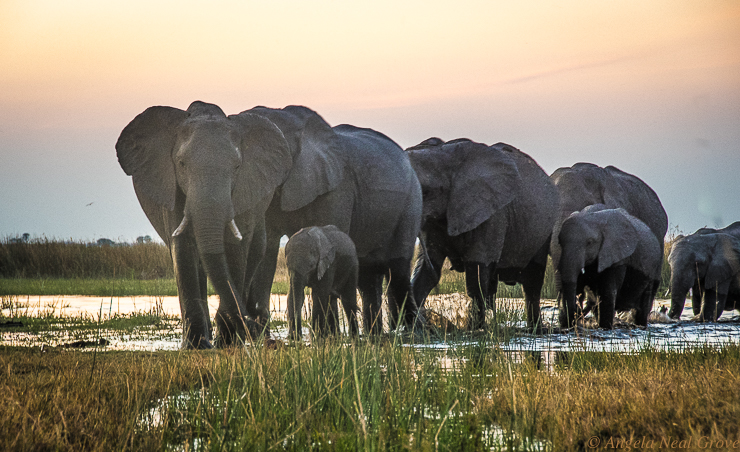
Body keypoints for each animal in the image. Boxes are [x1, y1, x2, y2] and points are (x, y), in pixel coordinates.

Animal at [408, 137, 556, 328]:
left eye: (425, 192)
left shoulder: (493, 214)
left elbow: (476, 275)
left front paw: (474, 329)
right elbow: (423, 274)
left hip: (543, 231)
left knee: (532, 282)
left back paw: (535, 329)